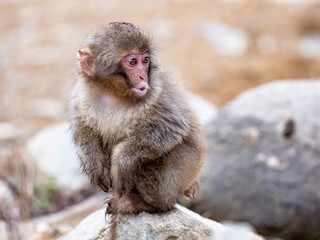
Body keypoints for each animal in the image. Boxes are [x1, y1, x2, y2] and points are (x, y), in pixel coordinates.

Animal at [69, 22, 206, 216]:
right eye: (133, 62)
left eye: (146, 60)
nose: (143, 76)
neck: (113, 93)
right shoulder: (80, 96)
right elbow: (83, 130)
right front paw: (92, 163)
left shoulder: (160, 90)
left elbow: (170, 128)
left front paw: (121, 161)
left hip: (187, 169)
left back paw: (148, 203)